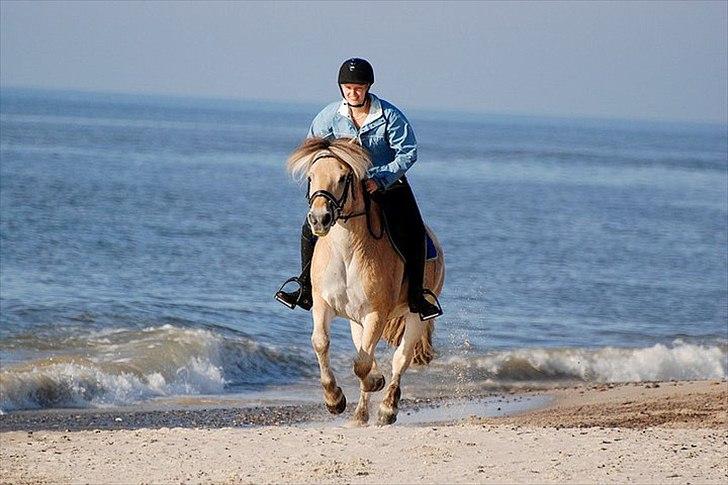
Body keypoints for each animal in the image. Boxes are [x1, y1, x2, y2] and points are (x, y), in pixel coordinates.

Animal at [288, 136, 446, 424]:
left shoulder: (376, 313)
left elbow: (361, 364)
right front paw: (334, 399)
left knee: (401, 359)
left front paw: (371, 385)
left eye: (343, 178)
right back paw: (360, 415)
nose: (319, 219)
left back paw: (387, 408)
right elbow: (323, 343)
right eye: (311, 176)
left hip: (415, 316)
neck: (347, 251)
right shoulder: (323, 305)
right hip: (356, 320)